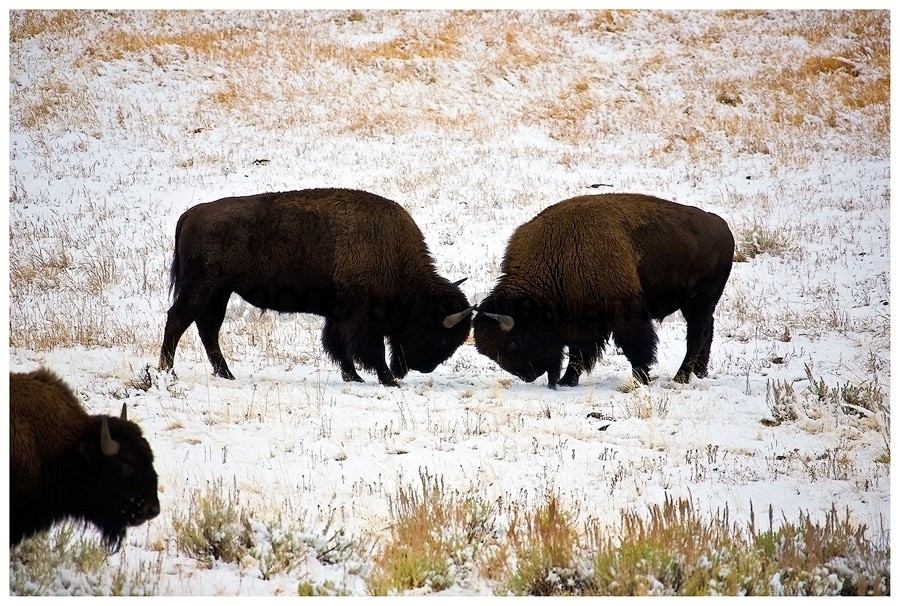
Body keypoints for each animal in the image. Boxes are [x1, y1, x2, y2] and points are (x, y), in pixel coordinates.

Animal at [159, 188, 474, 388]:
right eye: (442, 337)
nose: (424, 367)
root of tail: (192, 214)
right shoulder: (362, 319)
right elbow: (368, 350)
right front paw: (387, 380)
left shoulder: (338, 315)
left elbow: (338, 346)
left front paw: (353, 377)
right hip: (202, 288)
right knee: (178, 320)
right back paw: (167, 372)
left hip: (219, 293)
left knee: (207, 328)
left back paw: (225, 374)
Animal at [474, 195, 736, 394]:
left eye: (512, 342)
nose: (527, 375)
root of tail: (722, 226)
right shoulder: (581, 324)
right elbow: (578, 354)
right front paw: (567, 381)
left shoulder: (625, 317)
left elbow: (636, 348)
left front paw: (640, 379)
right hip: (700, 304)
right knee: (707, 330)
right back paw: (700, 373)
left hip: (699, 301)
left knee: (697, 334)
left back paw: (680, 377)